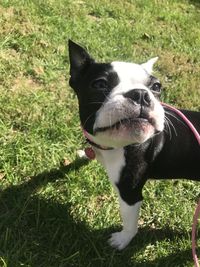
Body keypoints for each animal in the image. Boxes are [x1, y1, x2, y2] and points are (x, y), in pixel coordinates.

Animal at [68, 40, 199, 251]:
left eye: (156, 87)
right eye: (100, 84)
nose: (140, 94)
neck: (117, 146)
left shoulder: (130, 193)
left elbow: (129, 222)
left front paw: (122, 240)